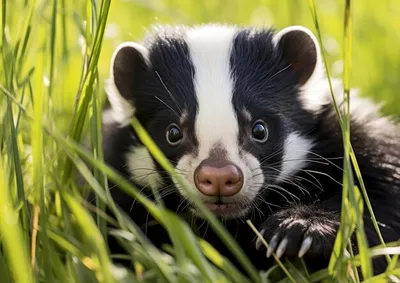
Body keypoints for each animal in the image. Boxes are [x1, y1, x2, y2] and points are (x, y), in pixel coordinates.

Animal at [101, 23, 400, 276]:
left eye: (259, 129)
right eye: (173, 132)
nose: (218, 175)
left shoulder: (354, 135)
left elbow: (380, 199)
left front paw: (298, 230)